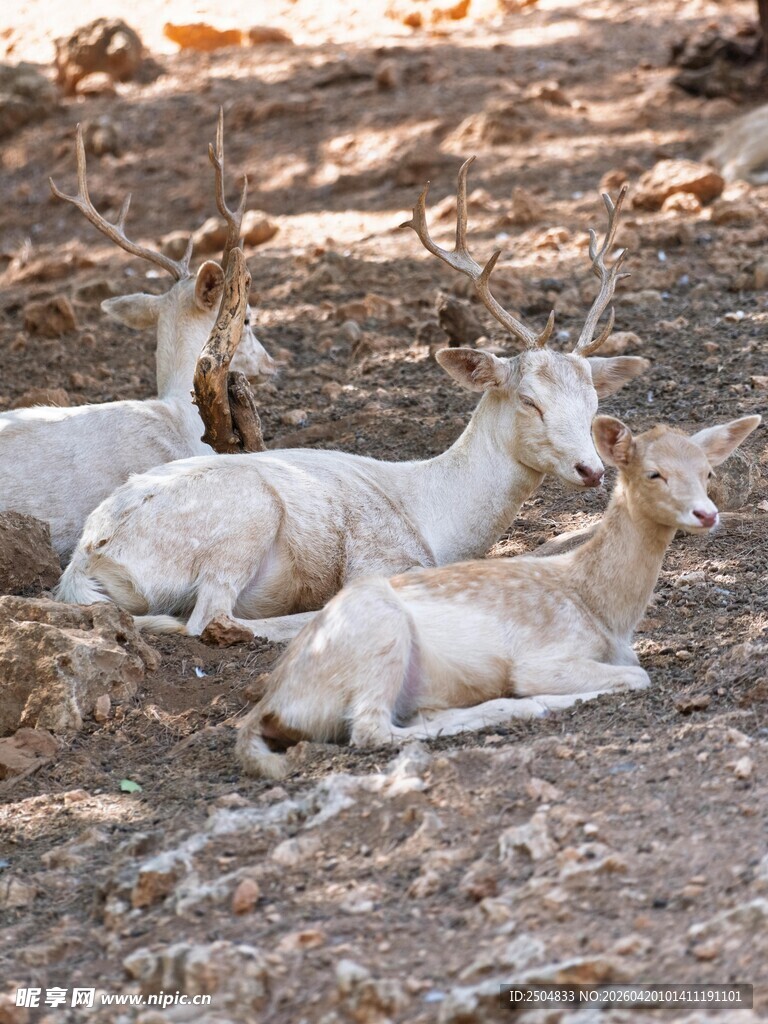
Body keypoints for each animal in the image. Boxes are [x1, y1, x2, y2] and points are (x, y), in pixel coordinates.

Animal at [56, 159, 649, 639]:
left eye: (593, 403)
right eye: (529, 399)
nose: (592, 470)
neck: (435, 518)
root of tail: (87, 558)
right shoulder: (376, 556)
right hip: (243, 518)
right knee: (212, 620)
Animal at [236, 413, 761, 778]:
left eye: (708, 472)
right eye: (654, 473)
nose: (707, 513)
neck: (601, 609)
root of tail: (271, 705)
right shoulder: (545, 655)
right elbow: (637, 677)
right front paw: (547, 696)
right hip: (376, 634)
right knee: (370, 729)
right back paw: (522, 706)